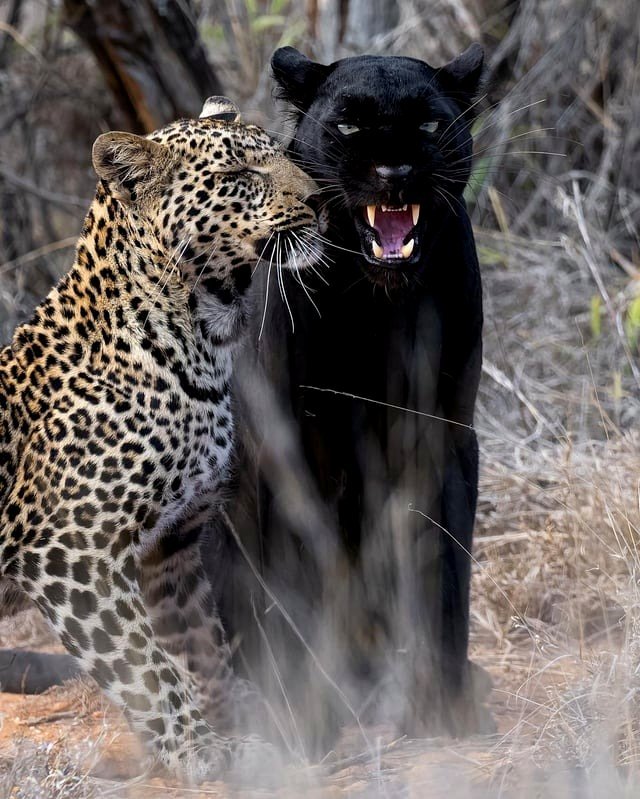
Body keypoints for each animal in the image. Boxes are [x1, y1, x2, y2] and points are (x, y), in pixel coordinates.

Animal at [0, 96, 318, 783]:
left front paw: (239, 729)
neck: (205, 340)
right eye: (240, 177)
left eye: (279, 155)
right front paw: (196, 748)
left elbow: (201, 648)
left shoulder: (170, 549)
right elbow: (145, 667)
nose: (320, 201)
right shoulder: (69, 550)